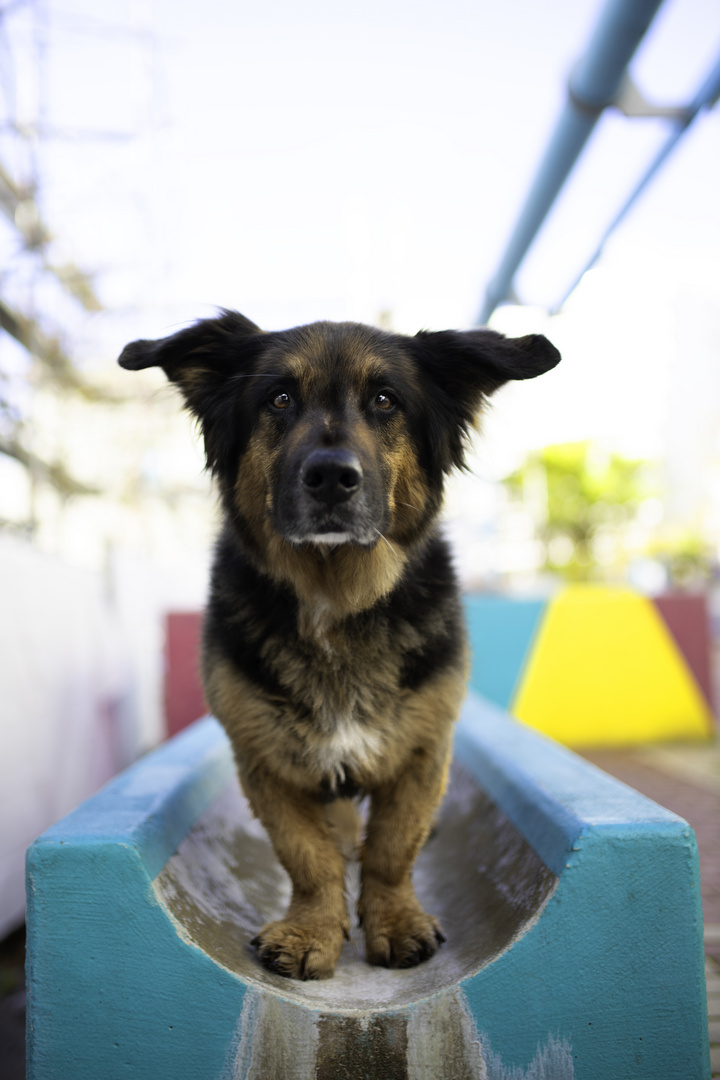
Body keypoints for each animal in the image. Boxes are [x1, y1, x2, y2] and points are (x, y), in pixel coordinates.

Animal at [118, 311, 561, 980]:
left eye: (385, 400)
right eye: (278, 399)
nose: (331, 477)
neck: (336, 598)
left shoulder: (422, 752)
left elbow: (392, 849)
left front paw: (396, 921)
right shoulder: (268, 762)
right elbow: (310, 856)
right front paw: (312, 931)